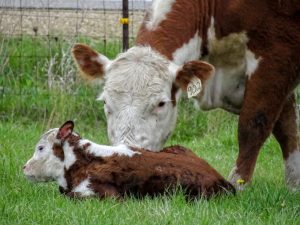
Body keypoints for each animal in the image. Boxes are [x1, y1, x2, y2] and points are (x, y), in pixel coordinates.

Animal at [71, 0, 300, 190]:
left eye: (161, 104)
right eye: (105, 103)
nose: (125, 156)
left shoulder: (275, 56)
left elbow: (253, 125)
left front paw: (240, 185)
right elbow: (287, 129)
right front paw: (294, 185)